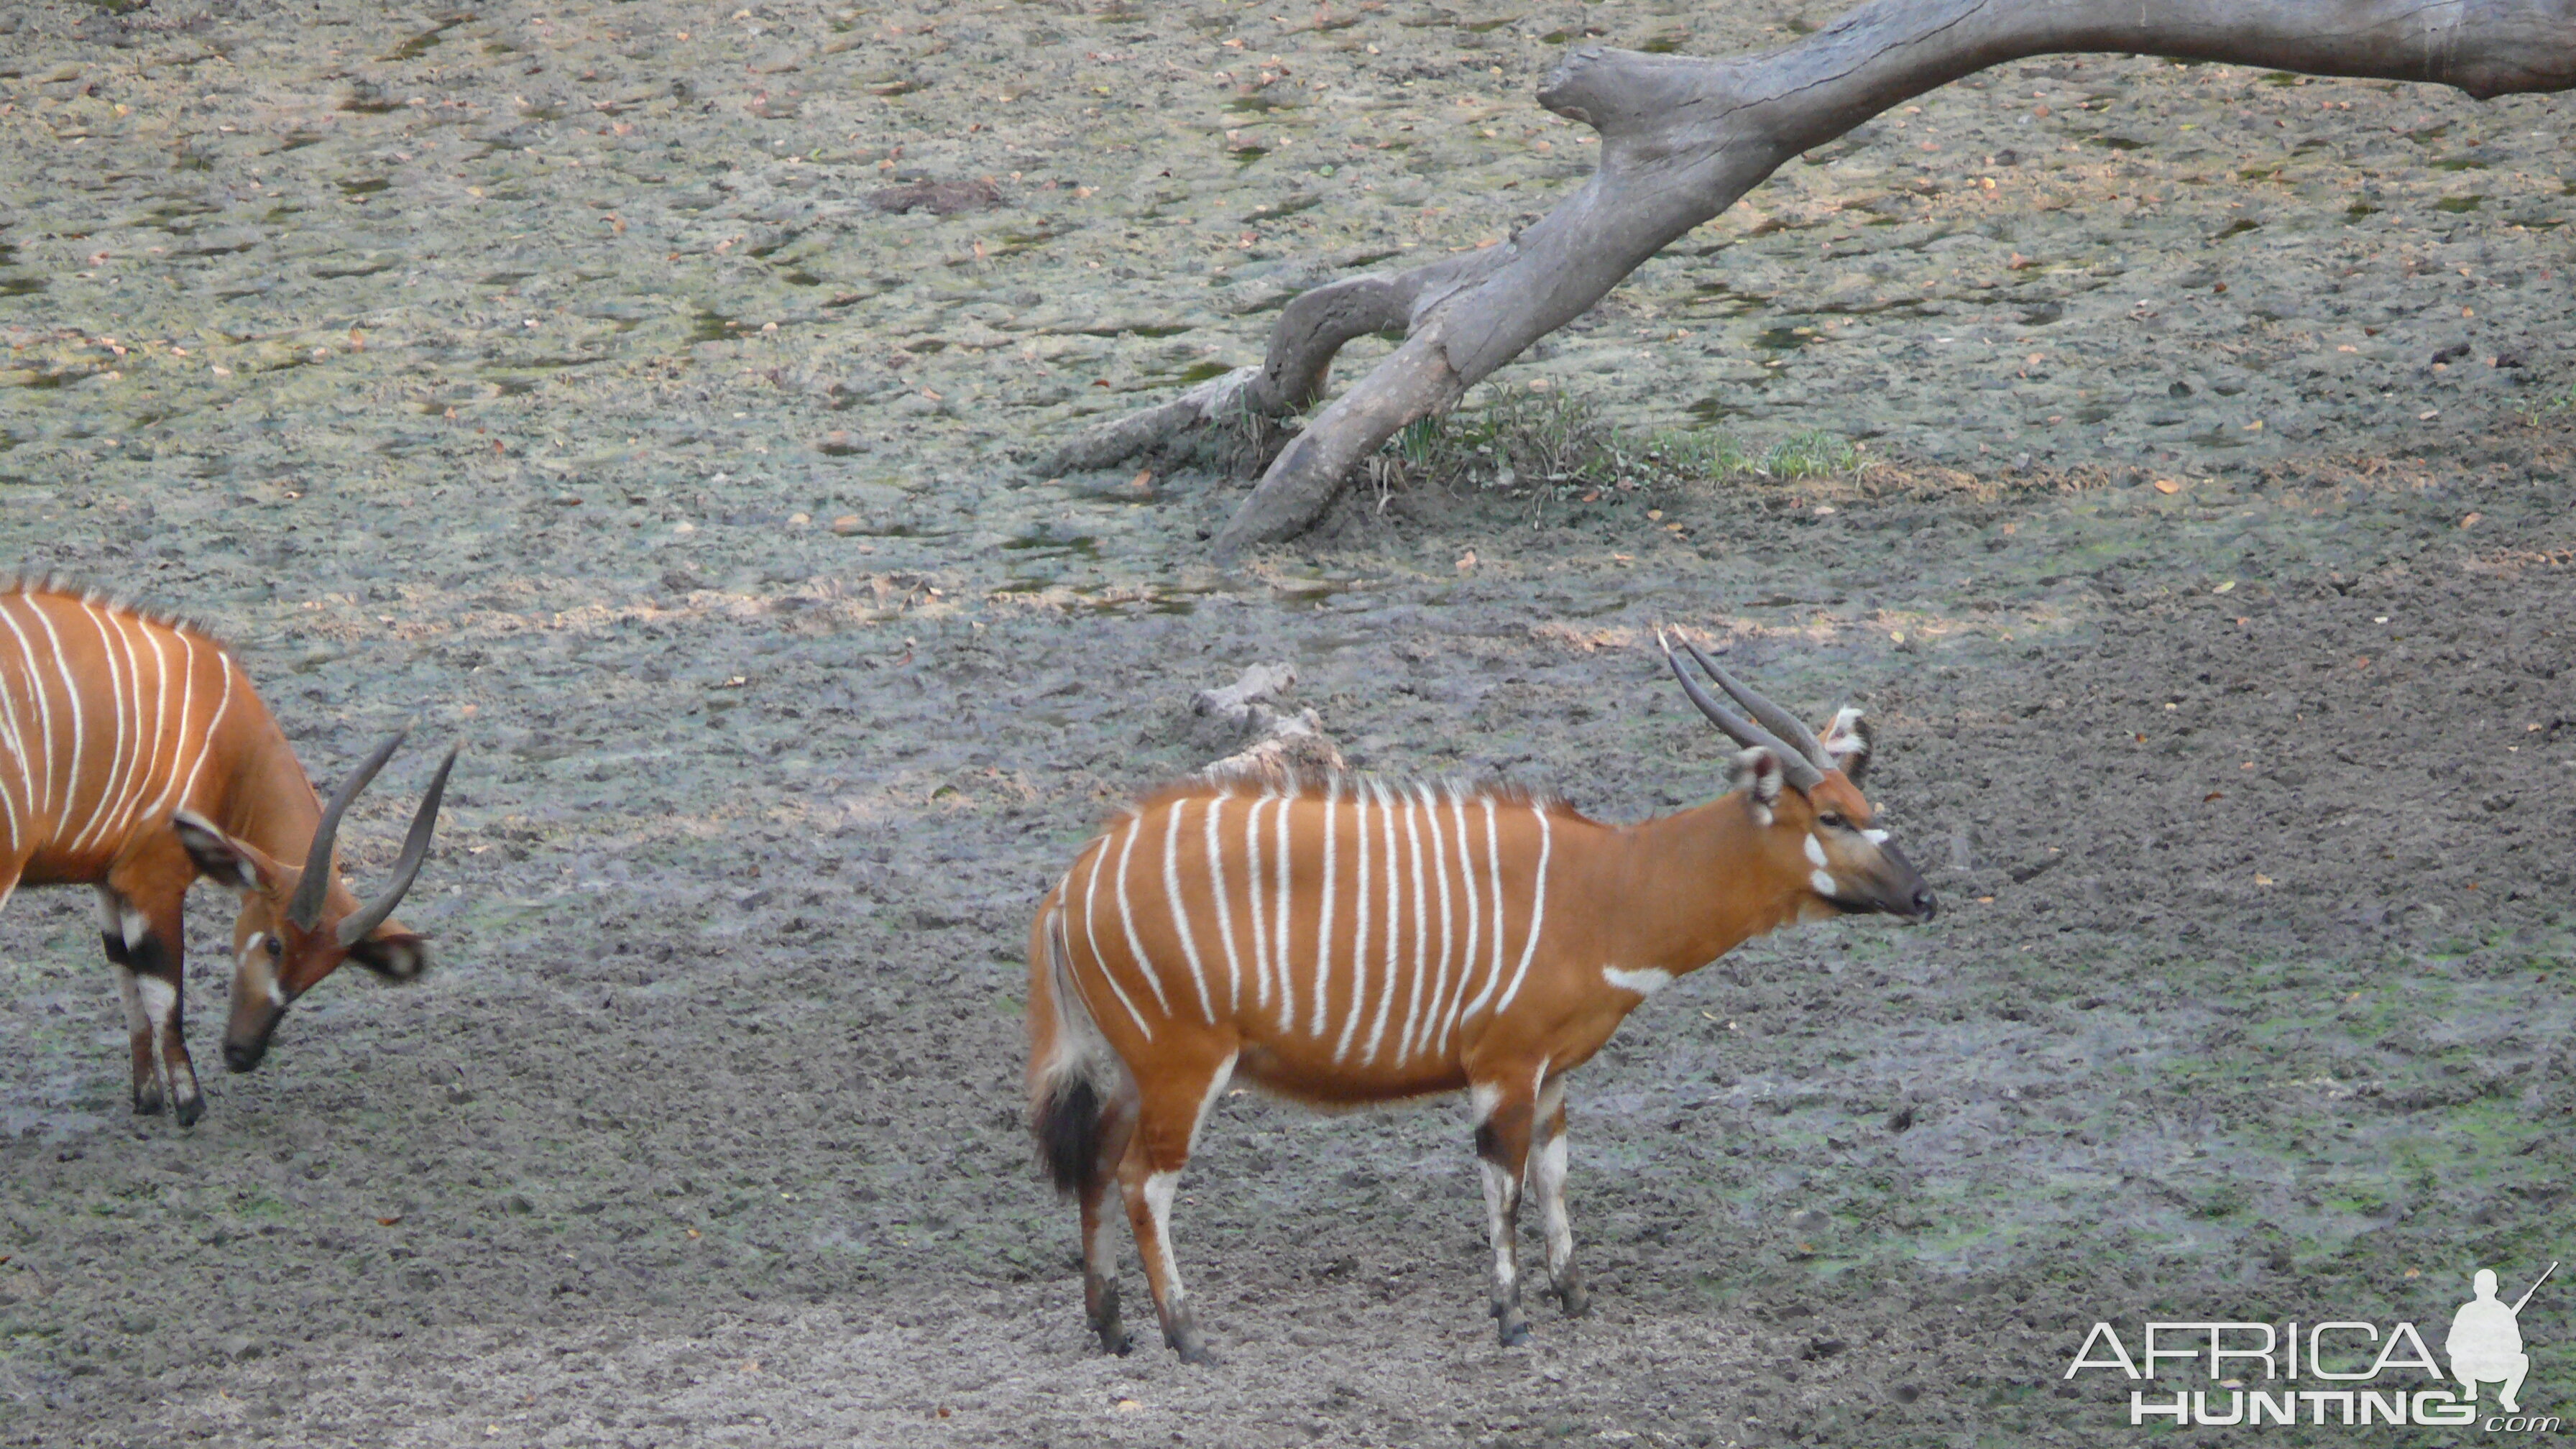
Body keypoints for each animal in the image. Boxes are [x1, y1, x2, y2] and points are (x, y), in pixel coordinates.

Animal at [0, 580, 458, 1124]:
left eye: (324, 970)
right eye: (275, 944)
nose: (243, 1054)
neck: (219, 732)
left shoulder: (110, 884)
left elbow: (128, 987)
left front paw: (147, 1100)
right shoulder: (152, 879)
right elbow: (165, 993)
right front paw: (191, 1107)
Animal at [1025, 629, 1937, 1351]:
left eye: (1860, 799)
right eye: (1829, 817)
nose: (1922, 896)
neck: (1607, 889)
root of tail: (1072, 883)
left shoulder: (1552, 1076)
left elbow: (1553, 1175)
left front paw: (1574, 1298)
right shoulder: (1502, 1066)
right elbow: (1502, 1184)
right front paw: (1512, 1318)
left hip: (1137, 1069)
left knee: (1097, 1165)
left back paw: (1111, 1329)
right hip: (1184, 1066)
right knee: (1144, 1181)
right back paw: (1186, 1337)